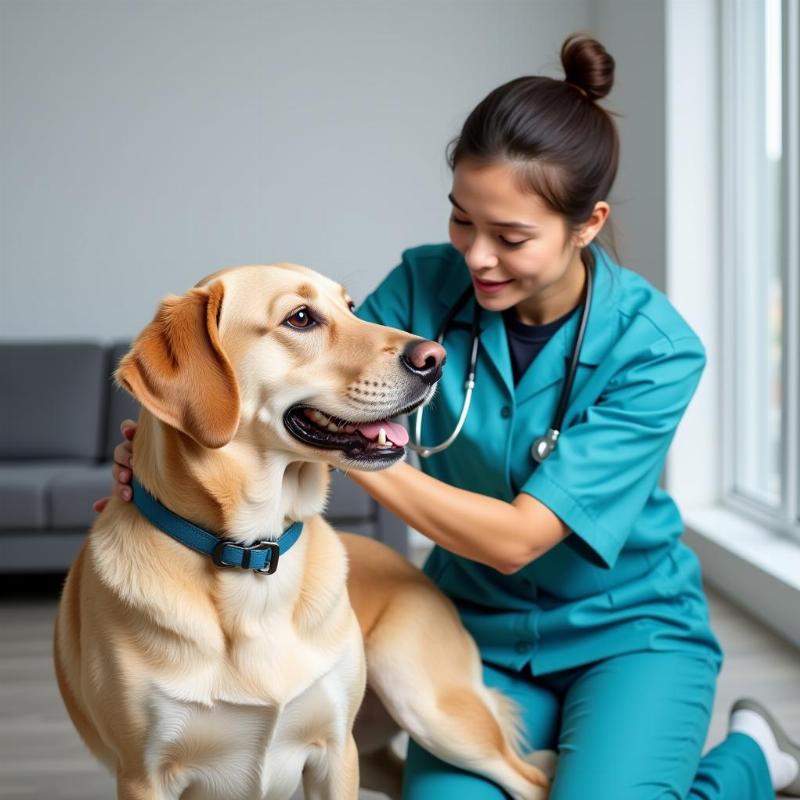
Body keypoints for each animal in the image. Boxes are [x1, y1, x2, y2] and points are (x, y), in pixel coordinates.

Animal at [51, 264, 552, 800]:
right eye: (300, 318)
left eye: (352, 308)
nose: (435, 358)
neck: (250, 554)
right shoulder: (143, 777)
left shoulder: (335, 752)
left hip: (429, 705)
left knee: (534, 780)